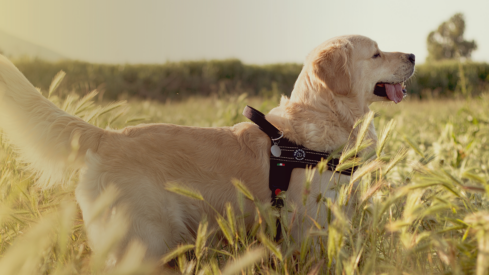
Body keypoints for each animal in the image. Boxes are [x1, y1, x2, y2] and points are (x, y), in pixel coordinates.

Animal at [0, 35, 414, 264]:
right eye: (376, 54)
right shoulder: (307, 229)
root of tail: (107, 135)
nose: (412, 56)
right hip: (141, 241)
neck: (324, 117)